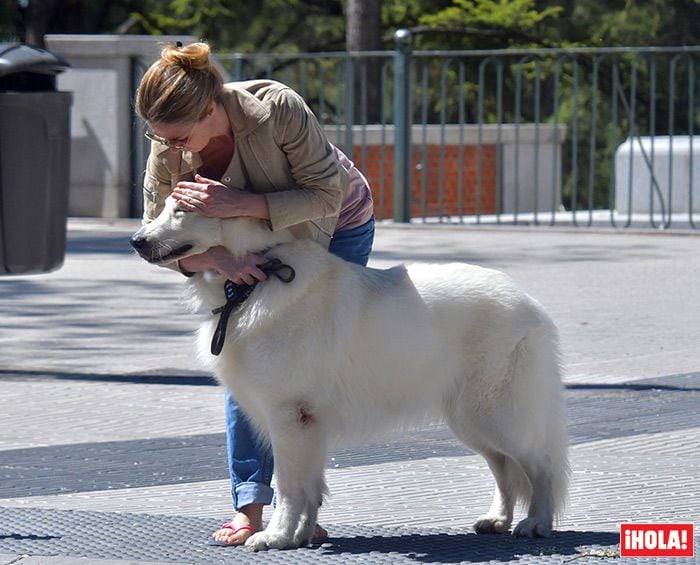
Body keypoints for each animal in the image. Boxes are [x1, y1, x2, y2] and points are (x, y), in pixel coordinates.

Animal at [130, 196, 568, 548]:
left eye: (182, 210)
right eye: (163, 207)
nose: (136, 240)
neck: (256, 280)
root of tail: (530, 302)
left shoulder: (290, 417)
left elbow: (288, 486)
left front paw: (275, 536)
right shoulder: (306, 424)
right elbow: (310, 486)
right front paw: (301, 536)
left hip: (495, 414)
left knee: (540, 464)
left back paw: (536, 523)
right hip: (469, 420)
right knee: (505, 469)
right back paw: (498, 520)